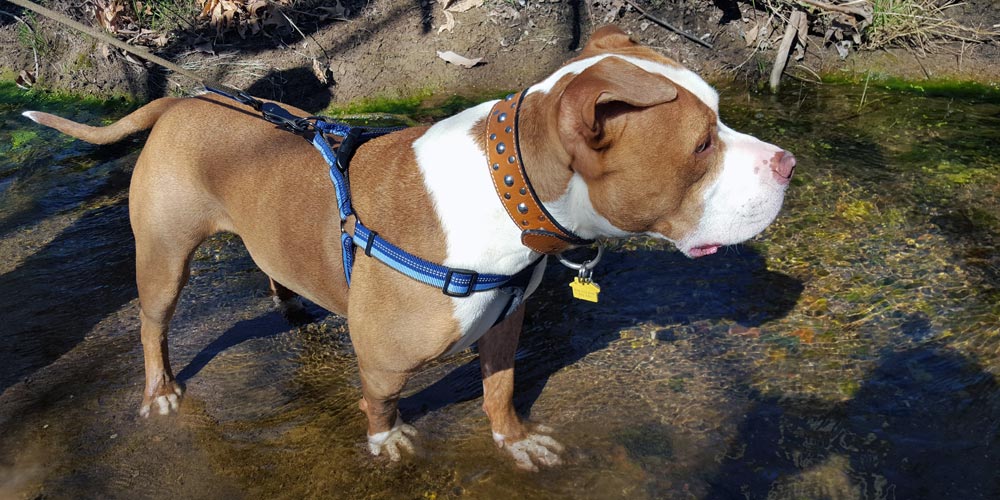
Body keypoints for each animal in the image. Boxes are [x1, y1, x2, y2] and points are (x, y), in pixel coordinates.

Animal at [23, 25, 796, 470]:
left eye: (720, 118)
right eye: (702, 145)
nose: (787, 163)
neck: (508, 192)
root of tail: (187, 99)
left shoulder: (505, 324)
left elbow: (499, 388)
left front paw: (513, 440)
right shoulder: (384, 354)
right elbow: (382, 401)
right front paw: (386, 441)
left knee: (269, 263)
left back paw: (292, 304)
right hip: (163, 259)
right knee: (153, 327)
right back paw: (159, 390)